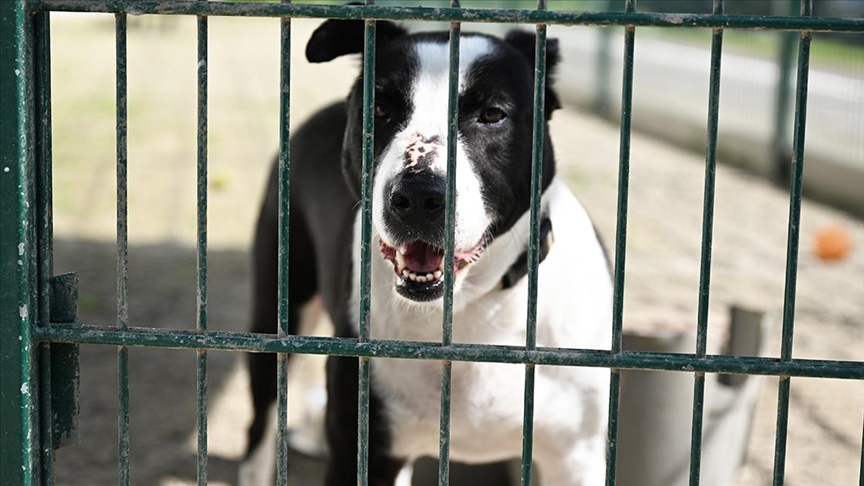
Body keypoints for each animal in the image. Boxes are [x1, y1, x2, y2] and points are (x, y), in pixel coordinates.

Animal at [240, 16, 612, 486]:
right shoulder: (366, 450)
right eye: (379, 110)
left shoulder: (577, 457)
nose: (418, 196)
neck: (474, 307)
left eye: (493, 114)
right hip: (279, 308)